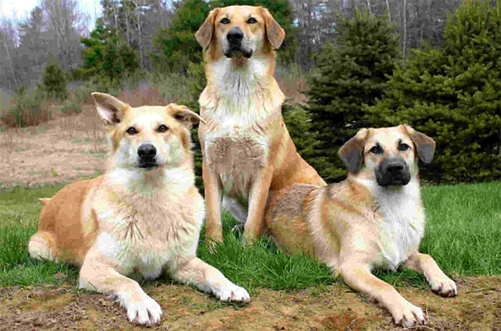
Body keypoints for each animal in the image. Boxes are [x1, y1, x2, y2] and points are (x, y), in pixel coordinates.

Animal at [27, 92, 250, 326]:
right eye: (131, 130)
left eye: (163, 128)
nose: (146, 151)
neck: (153, 197)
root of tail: (50, 200)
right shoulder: (95, 267)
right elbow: (128, 282)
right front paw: (143, 305)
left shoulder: (182, 262)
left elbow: (212, 270)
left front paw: (230, 287)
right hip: (40, 249)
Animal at [193, 5, 326, 246]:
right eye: (224, 21)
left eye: (252, 20)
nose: (234, 36)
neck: (238, 86)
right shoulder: (210, 164)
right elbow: (213, 217)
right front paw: (214, 247)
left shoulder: (263, 167)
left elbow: (253, 218)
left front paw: (247, 248)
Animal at [266, 126, 458, 328]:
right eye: (375, 149)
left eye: (404, 146)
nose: (395, 167)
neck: (392, 207)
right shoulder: (352, 267)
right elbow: (385, 285)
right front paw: (406, 309)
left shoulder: (404, 255)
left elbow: (427, 257)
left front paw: (443, 279)